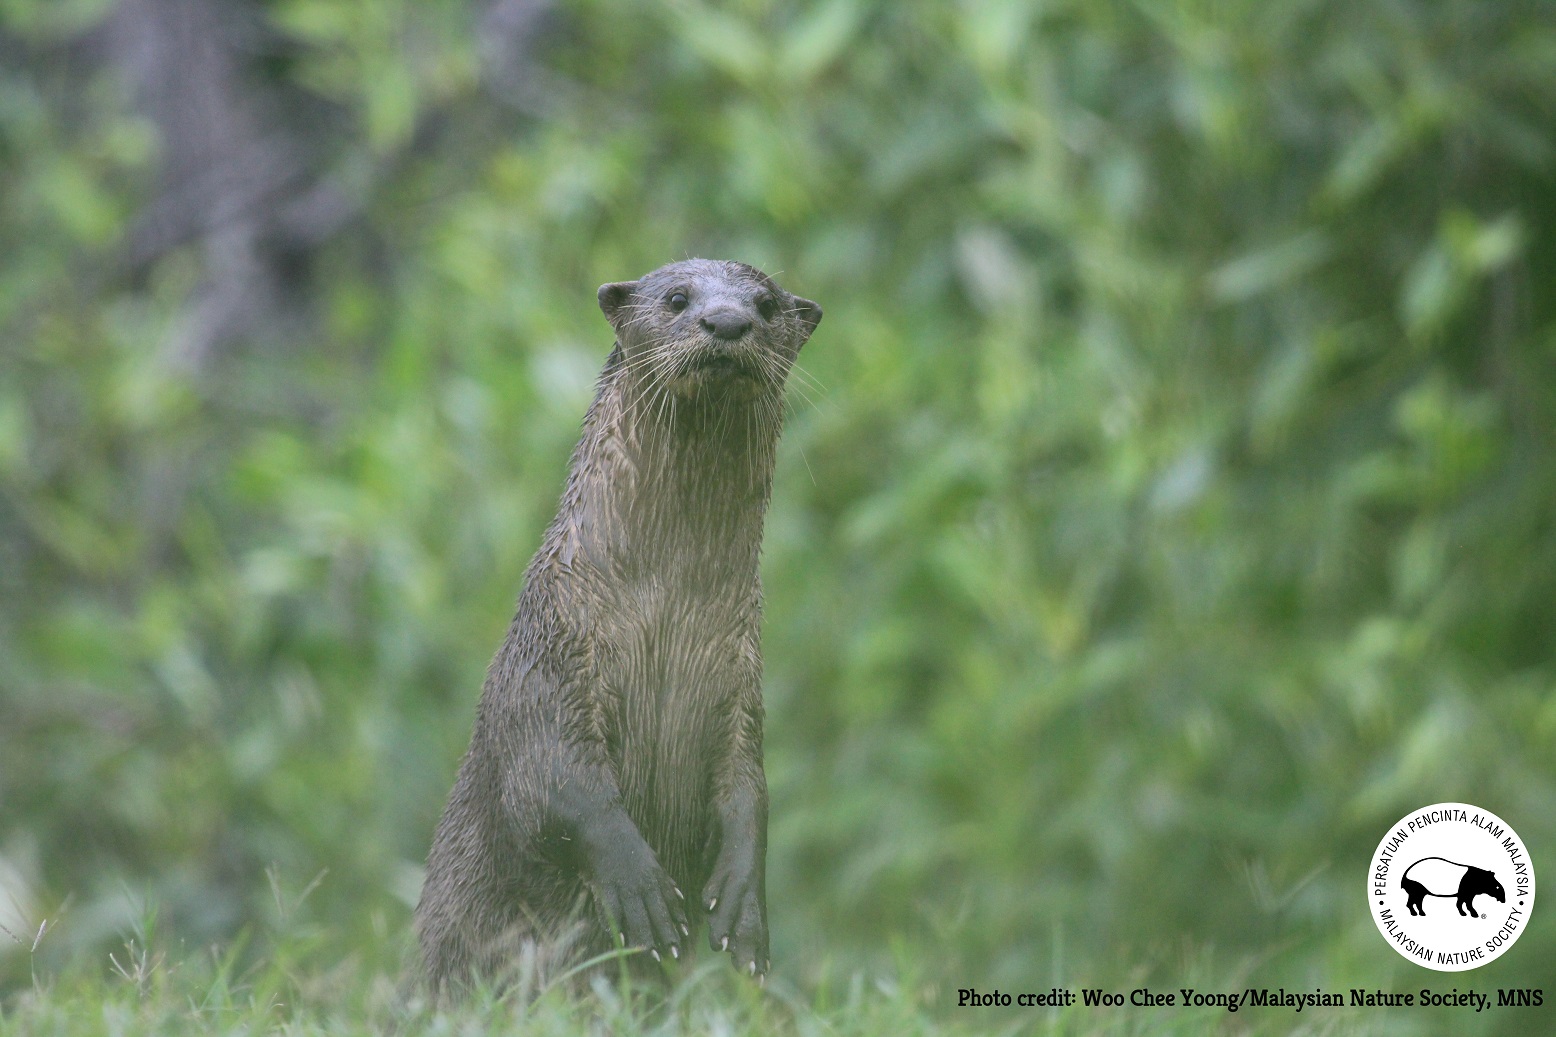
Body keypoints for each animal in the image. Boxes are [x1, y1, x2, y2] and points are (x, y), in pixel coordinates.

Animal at [413, 253, 827, 990]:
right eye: (677, 297)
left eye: (767, 304)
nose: (728, 321)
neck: (661, 613)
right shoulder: (550, 658)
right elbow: (555, 784)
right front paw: (642, 892)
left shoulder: (740, 685)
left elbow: (750, 794)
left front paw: (744, 906)